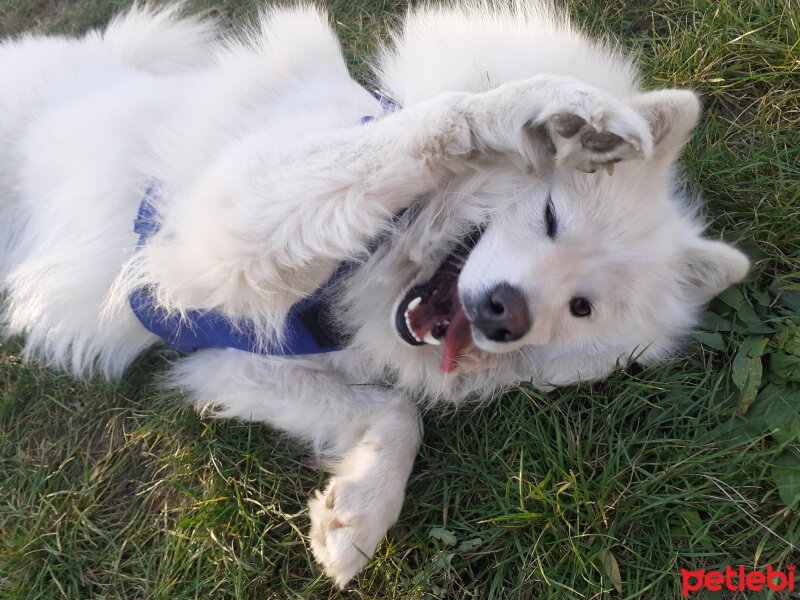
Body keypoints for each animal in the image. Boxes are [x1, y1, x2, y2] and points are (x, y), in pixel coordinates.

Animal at [0, 0, 752, 584]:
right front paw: (538, 116)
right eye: (549, 218)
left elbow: (395, 410)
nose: (505, 314)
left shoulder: (230, 357)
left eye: (581, 308)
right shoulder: (222, 226)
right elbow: (440, 124)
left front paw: (358, 511)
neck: (377, 266)